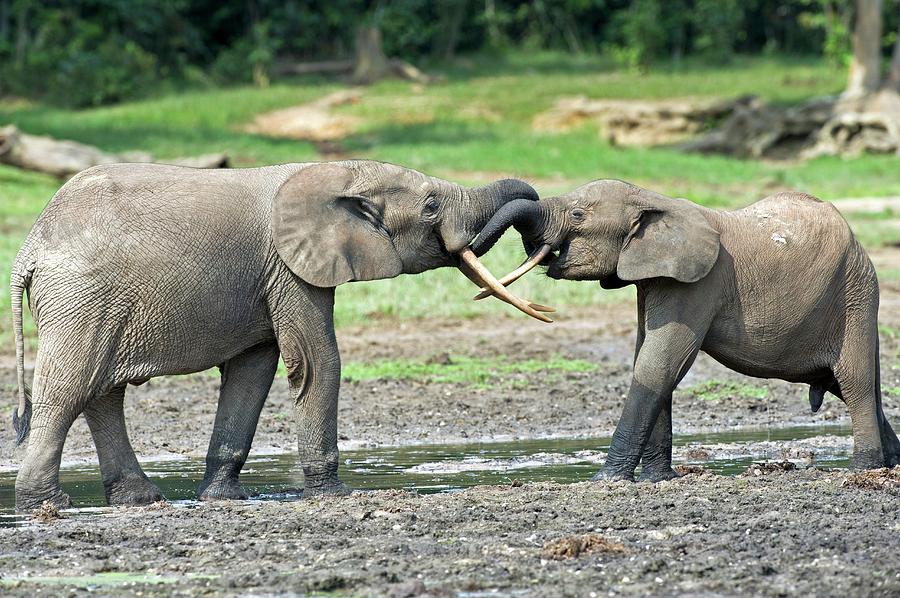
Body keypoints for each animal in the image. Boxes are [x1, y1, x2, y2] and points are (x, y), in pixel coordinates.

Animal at [9, 159, 551, 511]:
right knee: (69, 389)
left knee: (102, 392)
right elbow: (318, 361)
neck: (334, 172)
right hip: (81, 296)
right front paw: (336, 495)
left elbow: (253, 372)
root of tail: (30, 246)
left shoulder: (272, 276)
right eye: (432, 207)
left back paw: (141, 500)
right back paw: (45, 504)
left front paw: (225, 498)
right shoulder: (291, 268)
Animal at [469, 179, 900, 481]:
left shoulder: (698, 284)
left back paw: (863, 470)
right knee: (848, 384)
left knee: (855, 382)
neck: (653, 199)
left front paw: (605, 480)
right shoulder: (654, 279)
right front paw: (658, 480)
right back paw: (892, 461)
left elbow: (660, 362)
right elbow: (650, 359)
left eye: (577, 216)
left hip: (856, 295)